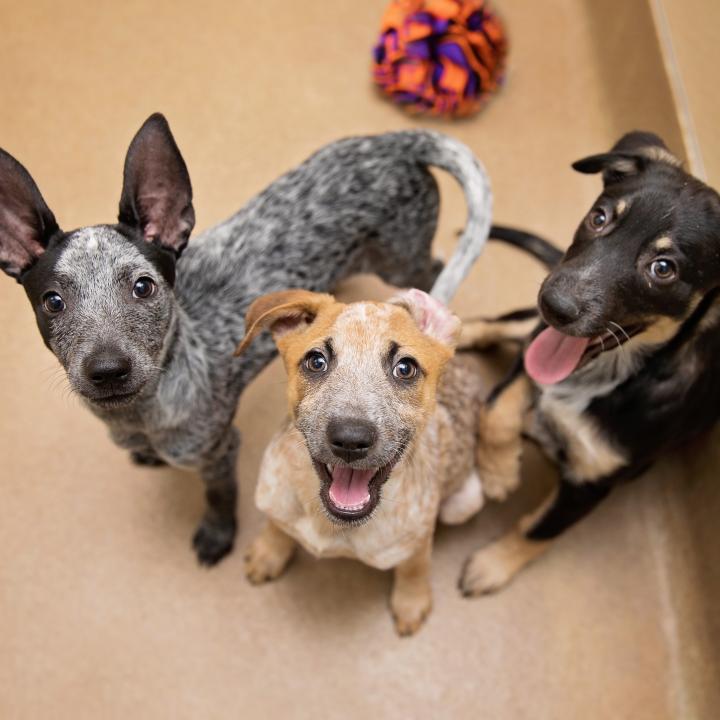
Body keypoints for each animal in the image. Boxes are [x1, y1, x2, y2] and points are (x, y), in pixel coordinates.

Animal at [236, 286, 490, 636]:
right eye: (316, 361)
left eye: (405, 368)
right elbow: (277, 524)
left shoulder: (417, 542)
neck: (330, 524)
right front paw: (268, 554)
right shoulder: (275, 497)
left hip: (465, 503)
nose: (350, 439)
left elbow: (414, 566)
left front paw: (411, 602)